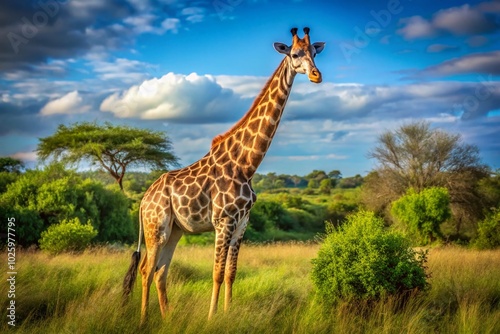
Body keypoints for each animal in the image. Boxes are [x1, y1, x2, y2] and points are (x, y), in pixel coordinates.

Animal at [122, 26, 324, 324]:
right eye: (295, 54)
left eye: (315, 53)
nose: (316, 75)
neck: (247, 164)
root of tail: (143, 200)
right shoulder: (223, 221)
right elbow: (216, 274)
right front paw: (211, 318)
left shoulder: (242, 224)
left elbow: (230, 274)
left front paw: (228, 314)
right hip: (155, 227)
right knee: (147, 270)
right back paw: (144, 319)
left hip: (175, 231)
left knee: (160, 271)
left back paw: (168, 317)